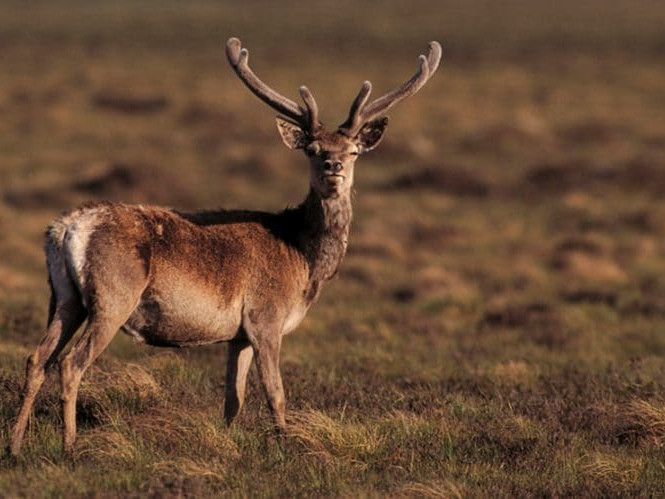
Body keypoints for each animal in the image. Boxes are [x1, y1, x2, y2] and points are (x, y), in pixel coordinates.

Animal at [8, 37, 441, 456]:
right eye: (312, 150)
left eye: (352, 151)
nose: (333, 167)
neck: (303, 261)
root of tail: (66, 228)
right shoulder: (265, 317)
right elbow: (275, 393)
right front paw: (286, 445)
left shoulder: (238, 335)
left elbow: (233, 400)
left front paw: (229, 443)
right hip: (113, 297)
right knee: (70, 363)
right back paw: (69, 446)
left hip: (65, 297)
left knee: (37, 359)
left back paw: (14, 446)